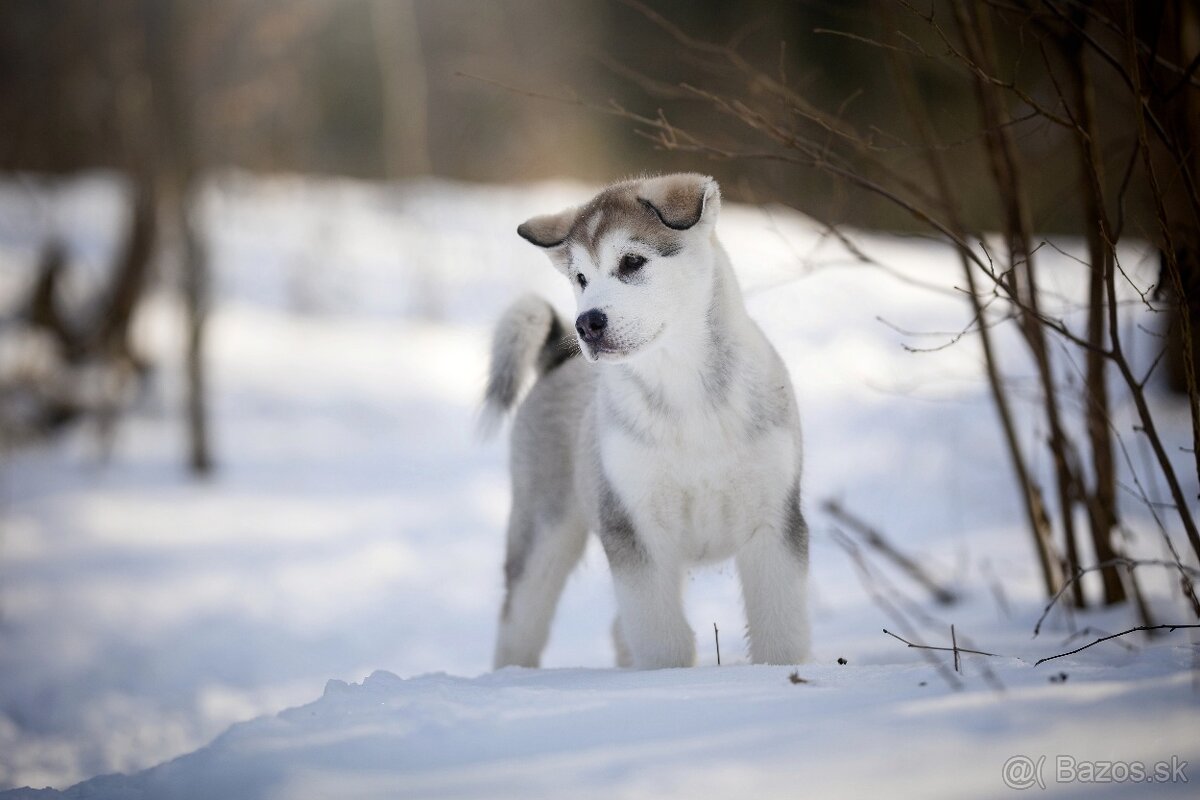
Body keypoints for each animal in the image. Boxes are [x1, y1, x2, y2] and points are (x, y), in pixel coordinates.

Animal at [482, 173, 811, 671]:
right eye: (580, 278)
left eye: (632, 262)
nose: (586, 324)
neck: (685, 391)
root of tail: (557, 357)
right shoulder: (635, 529)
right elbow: (661, 640)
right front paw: (663, 681)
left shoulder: (774, 521)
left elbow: (781, 632)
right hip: (542, 529)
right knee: (519, 623)